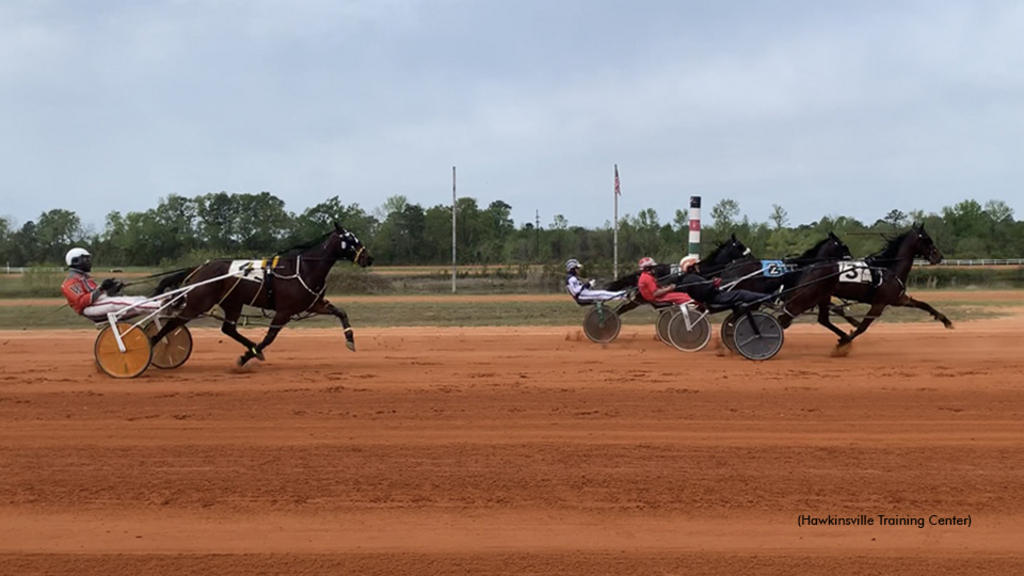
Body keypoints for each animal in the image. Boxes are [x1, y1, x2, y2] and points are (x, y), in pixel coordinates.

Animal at [149, 222, 374, 364]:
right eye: (351, 240)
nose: (368, 258)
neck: (304, 269)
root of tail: (199, 268)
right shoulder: (284, 311)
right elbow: (269, 338)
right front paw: (245, 357)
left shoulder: (313, 304)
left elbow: (341, 313)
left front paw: (350, 340)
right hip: (198, 303)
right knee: (172, 324)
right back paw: (150, 345)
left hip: (232, 303)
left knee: (228, 329)